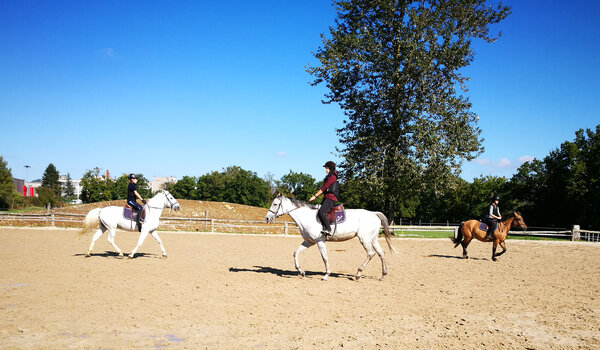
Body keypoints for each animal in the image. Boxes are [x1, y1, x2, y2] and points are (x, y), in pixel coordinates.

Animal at [264, 194, 396, 282]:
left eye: (275, 204)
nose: (267, 218)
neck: (306, 217)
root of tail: (374, 213)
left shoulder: (319, 241)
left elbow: (324, 257)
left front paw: (326, 275)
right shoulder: (309, 241)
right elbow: (296, 252)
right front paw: (301, 272)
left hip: (364, 239)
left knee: (371, 253)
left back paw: (358, 274)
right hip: (372, 239)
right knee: (381, 253)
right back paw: (383, 275)